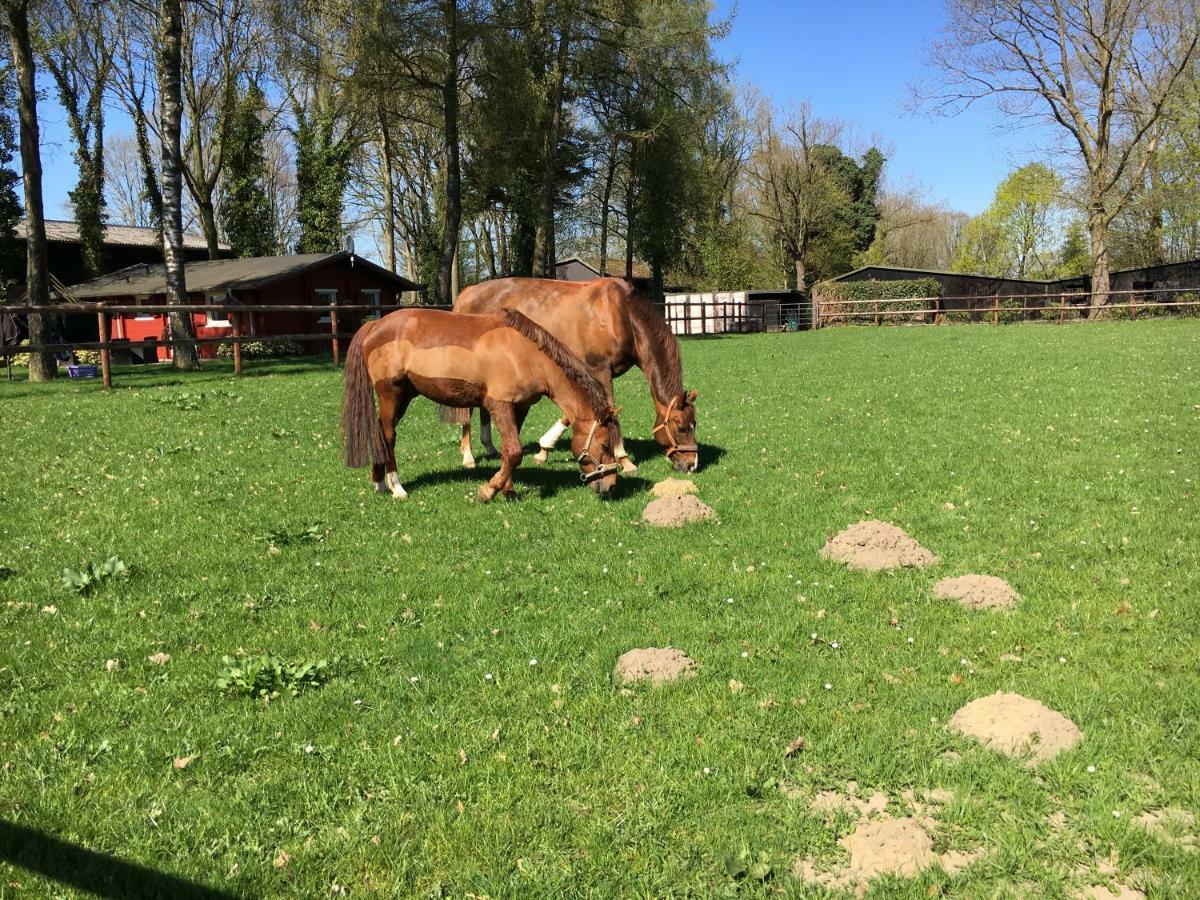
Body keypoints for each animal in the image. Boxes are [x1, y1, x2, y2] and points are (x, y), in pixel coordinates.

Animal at [338, 309, 619, 504]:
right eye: (605, 444)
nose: (611, 485)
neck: (525, 355)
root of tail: (375, 325)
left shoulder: (518, 408)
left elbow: (508, 451)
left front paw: (508, 490)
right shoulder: (498, 405)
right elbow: (515, 451)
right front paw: (488, 490)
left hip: (404, 396)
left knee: (380, 433)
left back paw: (379, 483)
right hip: (391, 394)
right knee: (388, 436)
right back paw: (396, 487)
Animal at [451, 278, 700, 475]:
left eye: (694, 423)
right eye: (680, 426)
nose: (692, 465)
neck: (620, 314)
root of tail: (467, 293)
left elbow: (572, 415)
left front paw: (543, 450)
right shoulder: (600, 372)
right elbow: (610, 409)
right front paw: (624, 459)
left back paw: (490, 447)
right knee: (468, 410)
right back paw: (468, 456)